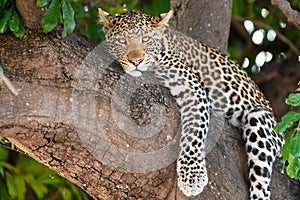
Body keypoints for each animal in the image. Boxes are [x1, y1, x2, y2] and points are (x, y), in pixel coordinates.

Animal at [98, 8, 284, 200]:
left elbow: (195, 132)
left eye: (146, 39)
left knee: (262, 185)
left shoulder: (193, 89)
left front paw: (192, 176)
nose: (136, 61)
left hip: (261, 120)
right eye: (122, 41)